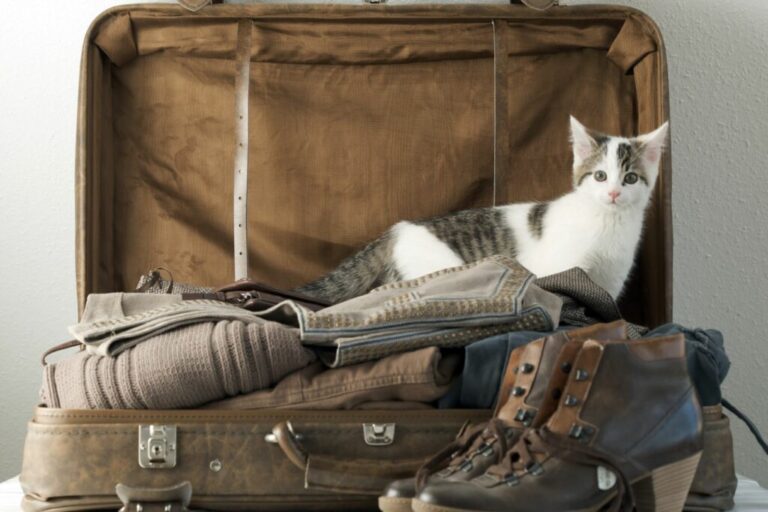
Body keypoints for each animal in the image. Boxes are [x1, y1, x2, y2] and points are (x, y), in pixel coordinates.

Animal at [296, 117, 668, 304]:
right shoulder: (561, 269)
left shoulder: (610, 280)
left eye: (631, 178)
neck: (609, 224)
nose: (614, 193)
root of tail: (397, 229)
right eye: (600, 176)